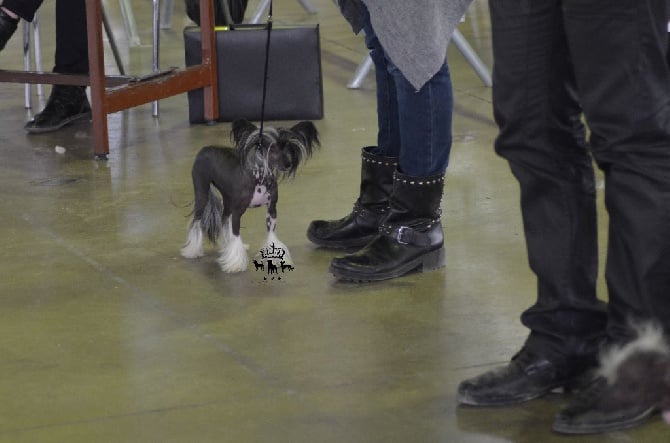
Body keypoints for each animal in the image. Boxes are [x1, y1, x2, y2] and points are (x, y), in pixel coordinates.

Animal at [181, 118, 320, 272]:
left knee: (224, 220)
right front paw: (235, 263)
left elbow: (271, 233)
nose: (288, 164)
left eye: (289, 147)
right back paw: (193, 250)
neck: (259, 179)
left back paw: (226, 245)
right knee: (197, 221)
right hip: (202, 193)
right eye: (272, 148)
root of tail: (204, 149)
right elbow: (236, 234)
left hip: (227, 199)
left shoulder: (272, 209)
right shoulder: (237, 212)